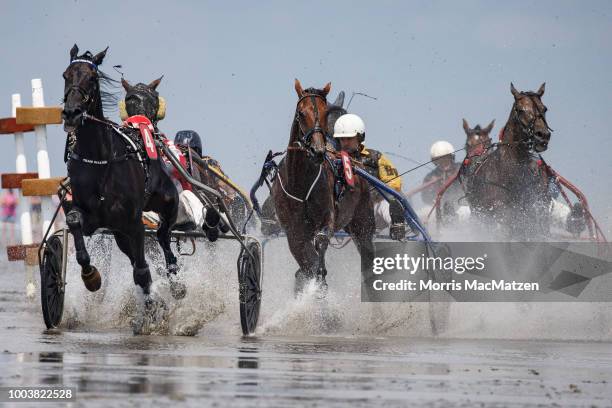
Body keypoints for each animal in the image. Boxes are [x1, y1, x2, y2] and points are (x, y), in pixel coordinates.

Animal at [63, 46, 186, 304]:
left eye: (92, 77)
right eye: (65, 75)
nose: (71, 113)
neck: (100, 161)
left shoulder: (134, 222)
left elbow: (141, 269)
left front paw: (152, 304)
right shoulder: (92, 217)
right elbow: (74, 222)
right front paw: (90, 276)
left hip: (168, 201)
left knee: (162, 236)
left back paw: (174, 279)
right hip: (119, 233)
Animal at [272, 79, 376, 294]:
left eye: (325, 112)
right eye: (301, 113)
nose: (318, 151)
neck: (300, 184)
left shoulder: (326, 220)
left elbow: (320, 244)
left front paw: (320, 284)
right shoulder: (294, 233)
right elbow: (307, 263)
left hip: (362, 224)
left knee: (368, 258)